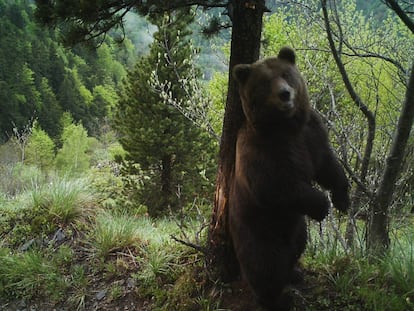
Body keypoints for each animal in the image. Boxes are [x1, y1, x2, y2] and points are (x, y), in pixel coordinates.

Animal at [230, 47, 350, 311]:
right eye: (265, 82)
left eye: (286, 74)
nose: (285, 94)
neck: (286, 127)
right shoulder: (261, 152)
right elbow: (275, 187)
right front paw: (322, 205)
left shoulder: (311, 133)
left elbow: (327, 165)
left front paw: (342, 199)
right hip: (258, 231)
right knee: (265, 266)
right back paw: (275, 298)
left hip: (296, 228)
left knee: (297, 246)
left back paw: (294, 273)